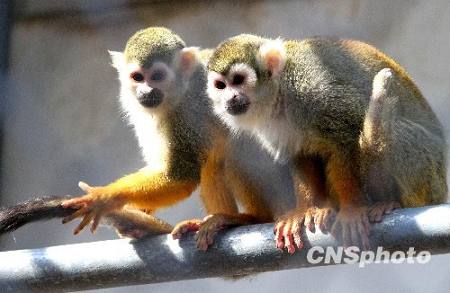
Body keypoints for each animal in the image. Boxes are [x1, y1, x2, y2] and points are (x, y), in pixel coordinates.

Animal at [207, 34, 446, 252]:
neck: (280, 92)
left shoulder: (312, 88)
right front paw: (305, 210)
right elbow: (301, 154)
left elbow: (345, 135)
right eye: (221, 85)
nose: (230, 98)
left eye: (238, 79)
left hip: (432, 175)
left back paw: (393, 203)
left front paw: (351, 210)